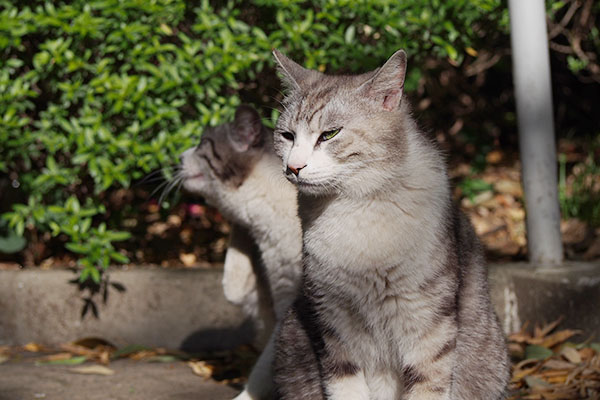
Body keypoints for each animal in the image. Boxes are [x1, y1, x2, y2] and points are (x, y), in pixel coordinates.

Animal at [272, 48, 510, 398]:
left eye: (329, 134)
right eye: (287, 136)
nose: (294, 167)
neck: (355, 210)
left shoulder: (427, 325)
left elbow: (427, 384)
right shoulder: (333, 319)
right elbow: (346, 387)